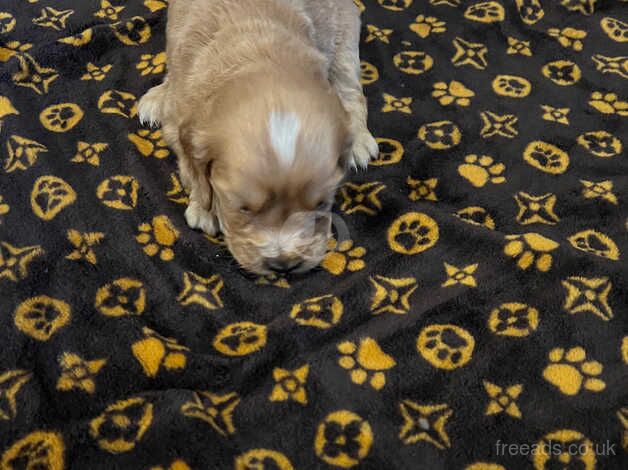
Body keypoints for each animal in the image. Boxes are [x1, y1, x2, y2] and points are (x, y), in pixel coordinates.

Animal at [137, 0, 378, 274]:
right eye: (242, 209)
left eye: (321, 204)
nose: (284, 265)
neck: (258, 54)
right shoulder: (180, 115)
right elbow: (191, 169)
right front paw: (204, 209)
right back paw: (157, 96)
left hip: (345, 35)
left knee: (351, 90)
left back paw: (359, 140)